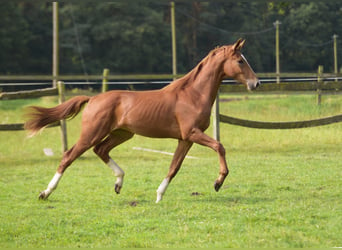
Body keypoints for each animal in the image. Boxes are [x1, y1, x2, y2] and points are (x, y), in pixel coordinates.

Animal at [24, 39, 260, 203]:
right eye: (240, 60)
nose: (256, 83)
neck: (192, 94)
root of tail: (92, 99)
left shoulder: (185, 139)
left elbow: (174, 167)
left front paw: (158, 196)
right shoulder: (192, 133)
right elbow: (219, 146)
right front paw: (218, 182)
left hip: (122, 134)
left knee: (101, 150)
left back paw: (119, 183)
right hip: (92, 133)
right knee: (68, 156)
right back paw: (45, 193)